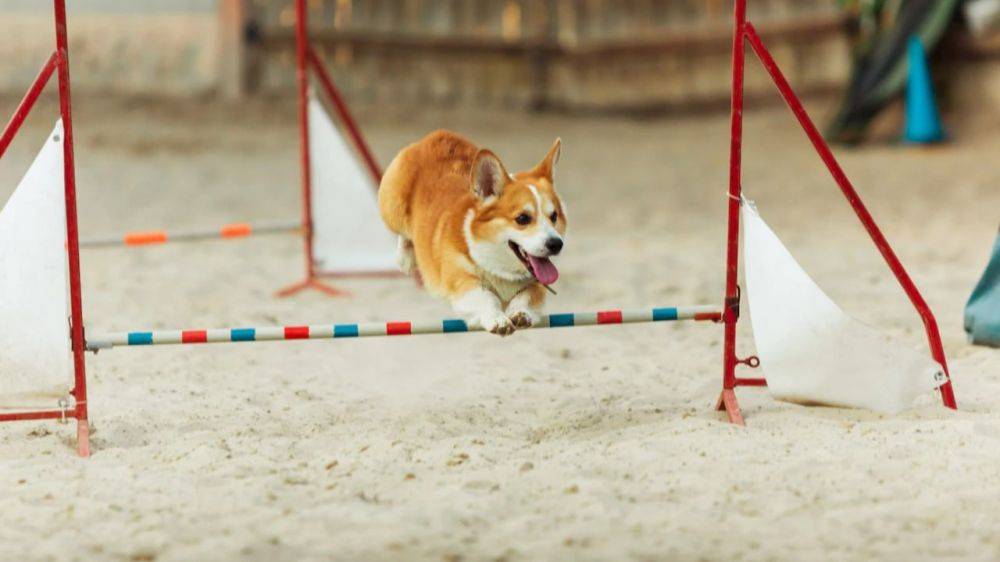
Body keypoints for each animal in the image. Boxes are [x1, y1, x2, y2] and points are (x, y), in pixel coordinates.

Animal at [378, 129, 568, 334]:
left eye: (554, 216)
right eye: (523, 218)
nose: (556, 244)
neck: (500, 268)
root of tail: (436, 135)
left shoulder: (537, 285)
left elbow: (526, 298)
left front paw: (520, 313)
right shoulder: (463, 284)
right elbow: (486, 298)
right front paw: (497, 319)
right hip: (392, 208)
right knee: (402, 233)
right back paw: (405, 258)